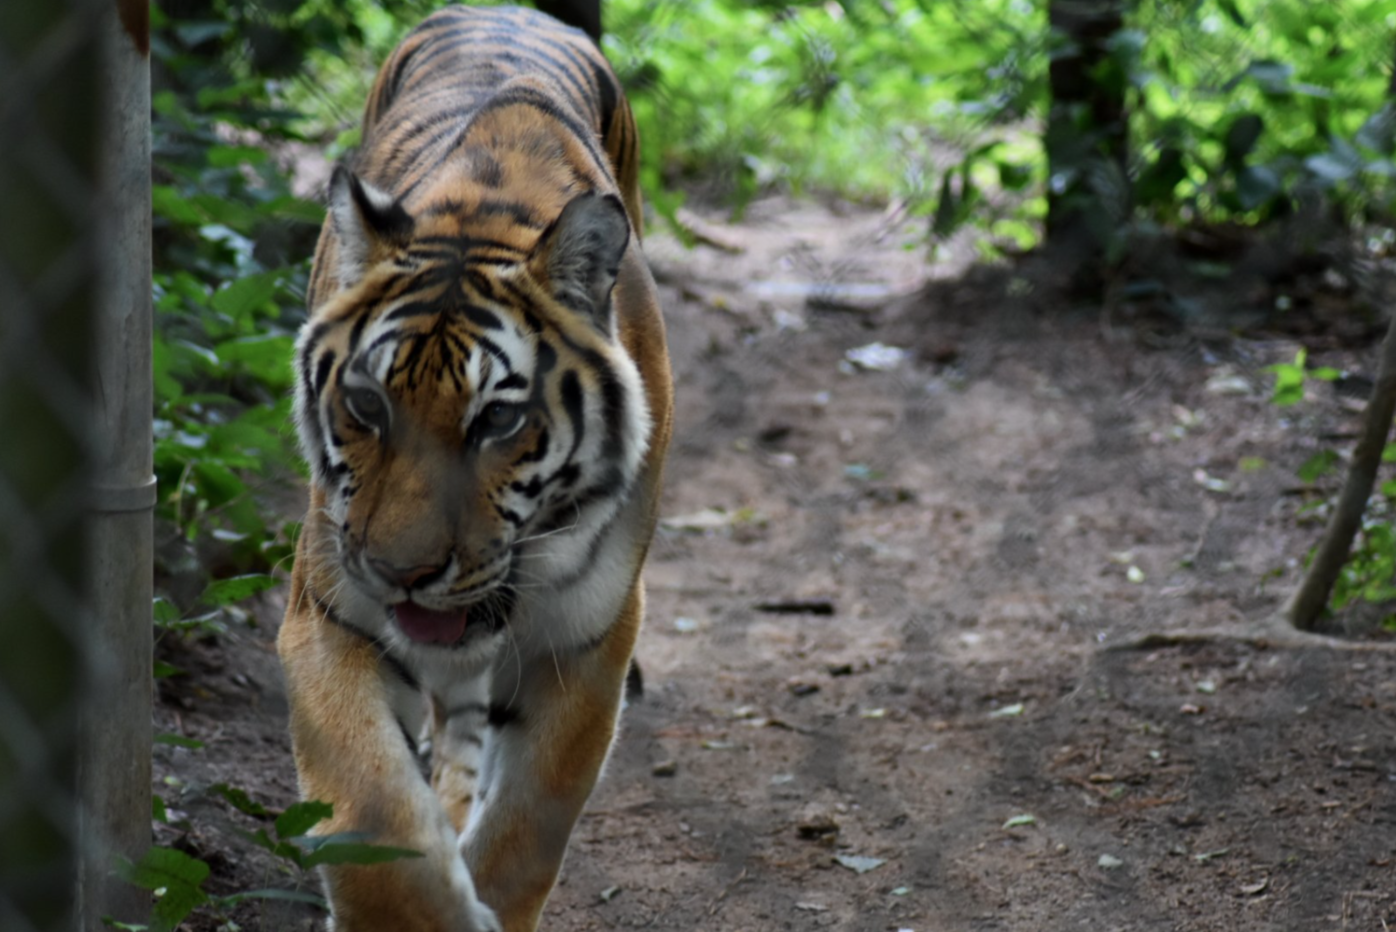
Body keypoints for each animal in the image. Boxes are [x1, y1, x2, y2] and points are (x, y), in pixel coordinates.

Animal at [275, 6, 672, 931]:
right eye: (367, 405)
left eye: (497, 419)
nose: (401, 573)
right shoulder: (328, 615)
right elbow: (373, 811)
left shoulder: (585, 639)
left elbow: (530, 825)